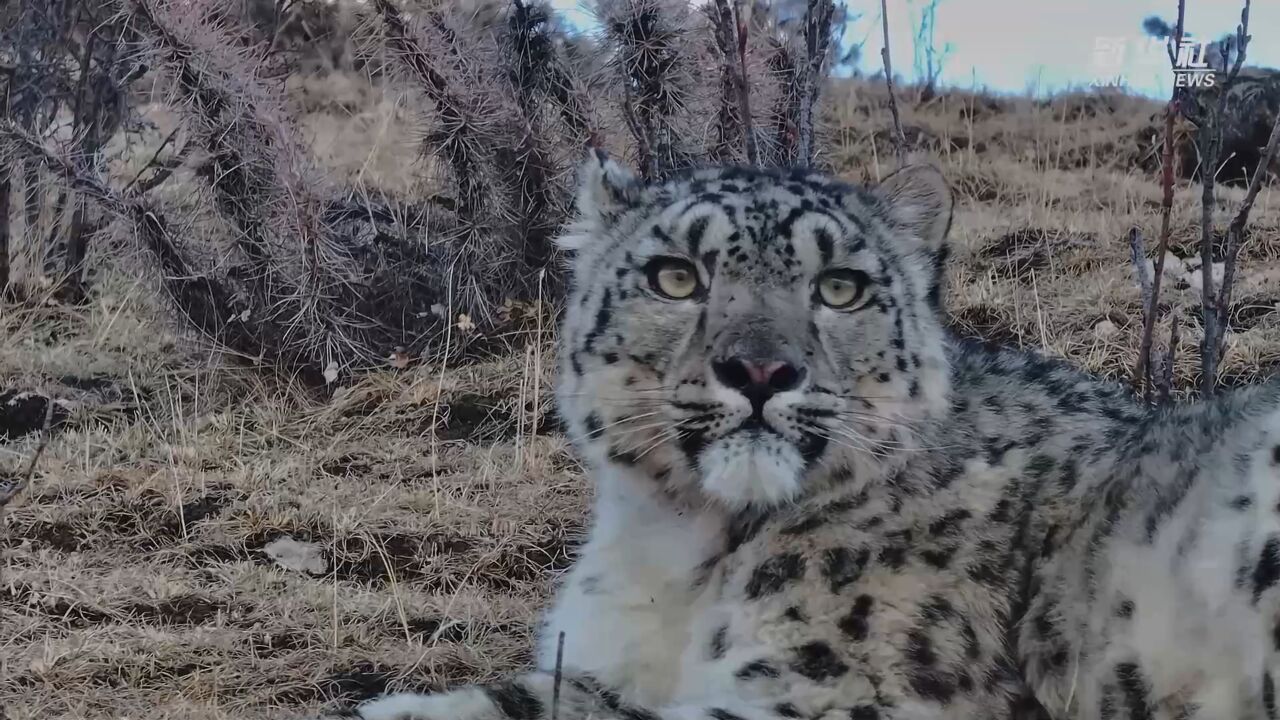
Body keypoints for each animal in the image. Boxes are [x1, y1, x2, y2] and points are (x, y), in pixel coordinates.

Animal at [355, 152, 1280, 717]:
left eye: (840, 287)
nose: (761, 370)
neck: (679, 551)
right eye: (675, 275)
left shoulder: (848, 693)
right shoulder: (603, 670)